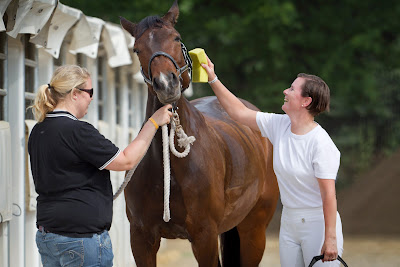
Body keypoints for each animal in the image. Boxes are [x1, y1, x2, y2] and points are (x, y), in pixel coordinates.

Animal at [119, 1, 278, 266]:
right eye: (137, 49)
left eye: (176, 37)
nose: (166, 84)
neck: (169, 169)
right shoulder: (141, 239)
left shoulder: (204, 237)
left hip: (254, 231)